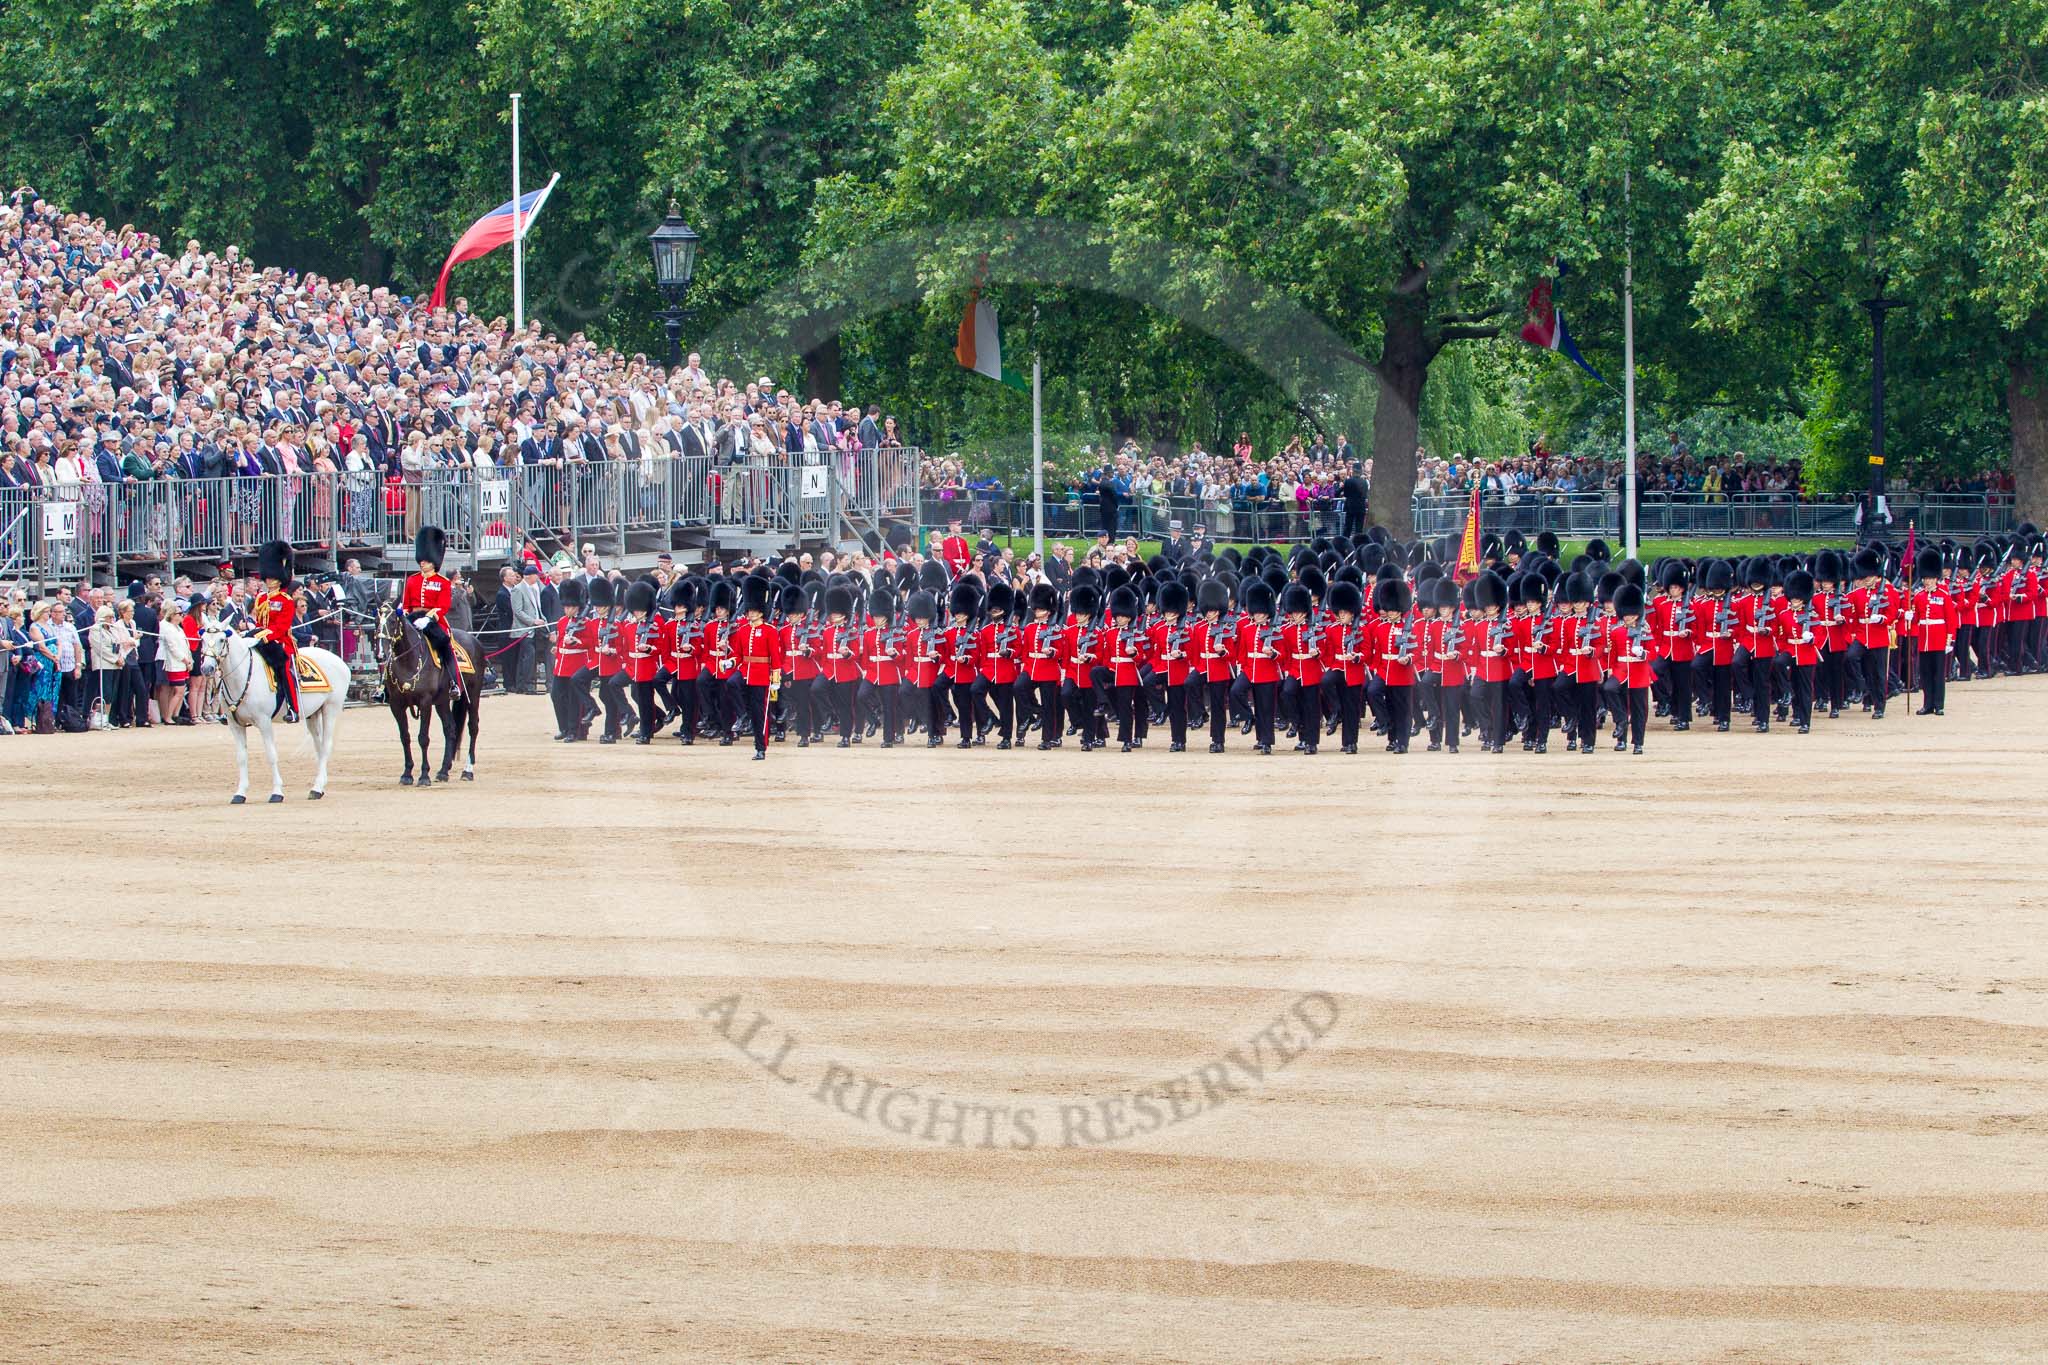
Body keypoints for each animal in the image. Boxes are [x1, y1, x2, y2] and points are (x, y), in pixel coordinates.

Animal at [201, 626, 350, 806]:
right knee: (319, 747)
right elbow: (241, 757)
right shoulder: (234, 725)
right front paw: (240, 793)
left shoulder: (264, 722)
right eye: (202, 639)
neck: (242, 677)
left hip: (330, 709)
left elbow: (271, 755)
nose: (207, 668)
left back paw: (316, 788)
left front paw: (277, 792)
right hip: (312, 714)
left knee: (326, 745)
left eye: (222, 639)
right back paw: (319, 787)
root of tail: (339, 661)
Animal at [380, 601, 483, 785]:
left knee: (473, 727)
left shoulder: (425, 702)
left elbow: (423, 738)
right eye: (377, 622)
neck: (408, 661)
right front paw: (407, 774)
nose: (382, 653)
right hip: (442, 701)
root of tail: (473, 639)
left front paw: (424, 775)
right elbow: (405, 737)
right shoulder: (396, 705)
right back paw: (443, 771)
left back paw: (467, 770)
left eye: (392, 622)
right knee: (451, 729)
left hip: (473, 694)